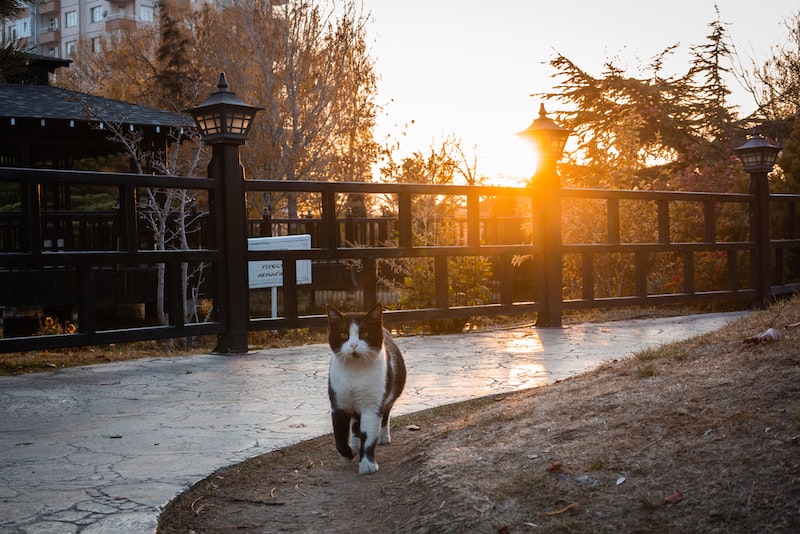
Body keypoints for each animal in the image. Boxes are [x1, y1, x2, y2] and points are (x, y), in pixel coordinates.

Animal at [324, 304, 406, 476]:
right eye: (343, 334)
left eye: (365, 334)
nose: (354, 345)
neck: (355, 373)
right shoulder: (339, 403)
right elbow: (339, 437)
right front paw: (348, 453)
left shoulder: (372, 405)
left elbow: (368, 436)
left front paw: (367, 464)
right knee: (355, 422)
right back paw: (354, 445)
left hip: (390, 392)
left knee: (385, 414)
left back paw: (383, 436)